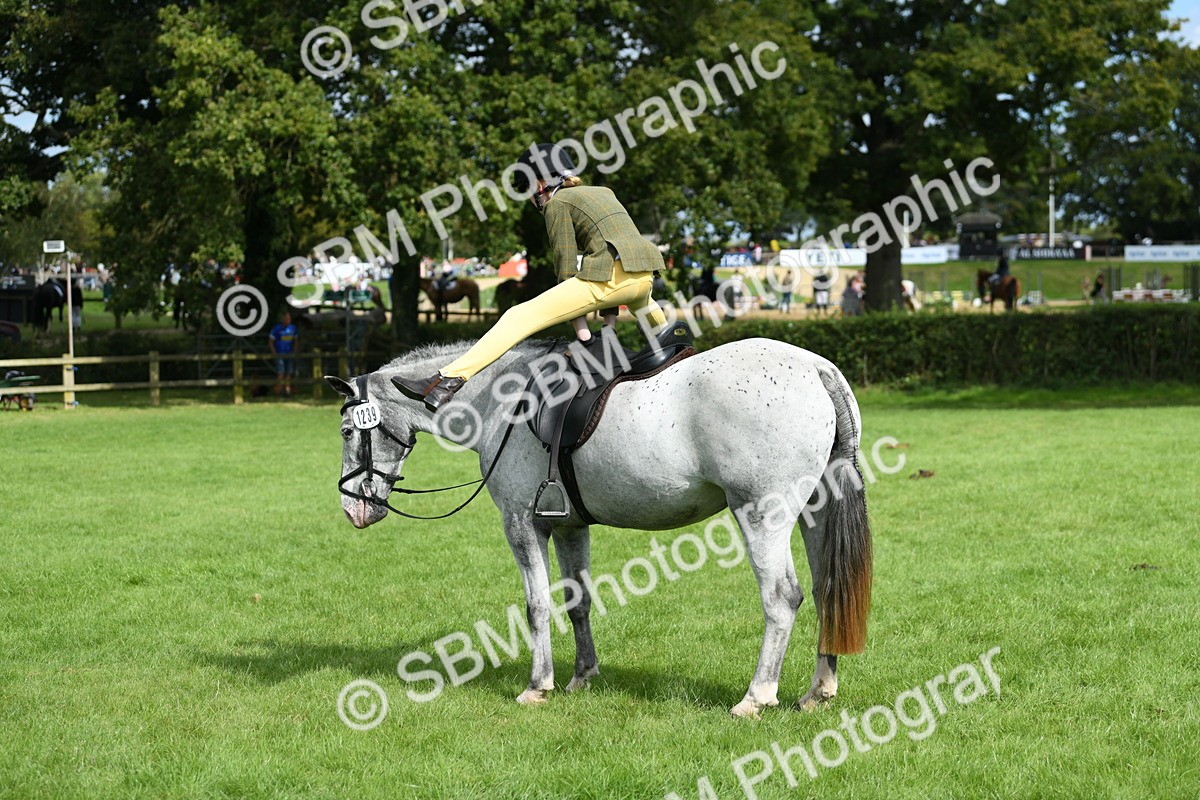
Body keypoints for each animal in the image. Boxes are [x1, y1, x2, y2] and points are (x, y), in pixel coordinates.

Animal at [326, 336, 873, 718]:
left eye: (349, 431)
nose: (354, 508)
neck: (501, 400)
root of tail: (815, 367)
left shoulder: (522, 524)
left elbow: (536, 606)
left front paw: (538, 685)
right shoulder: (569, 527)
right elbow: (577, 602)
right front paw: (582, 676)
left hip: (762, 514)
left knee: (782, 598)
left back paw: (757, 696)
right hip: (815, 511)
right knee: (827, 590)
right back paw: (818, 690)